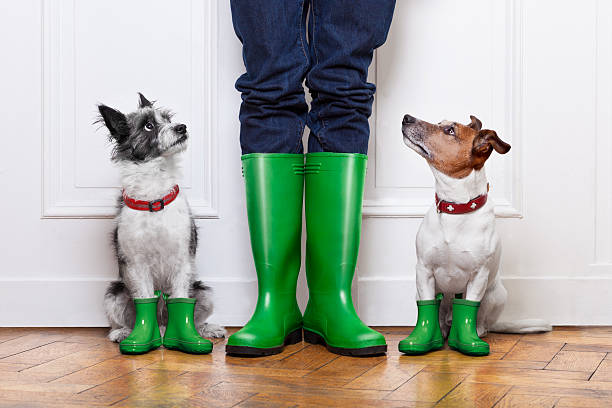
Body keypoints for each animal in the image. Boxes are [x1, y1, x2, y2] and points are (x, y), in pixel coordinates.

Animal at [402, 113, 548, 336]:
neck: (455, 207)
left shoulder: (478, 277)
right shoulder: (424, 272)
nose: (406, 117)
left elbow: (470, 307)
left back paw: (477, 332)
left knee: (481, 322)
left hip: (496, 295)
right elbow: (428, 307)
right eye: (439, 123)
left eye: (450, 131)